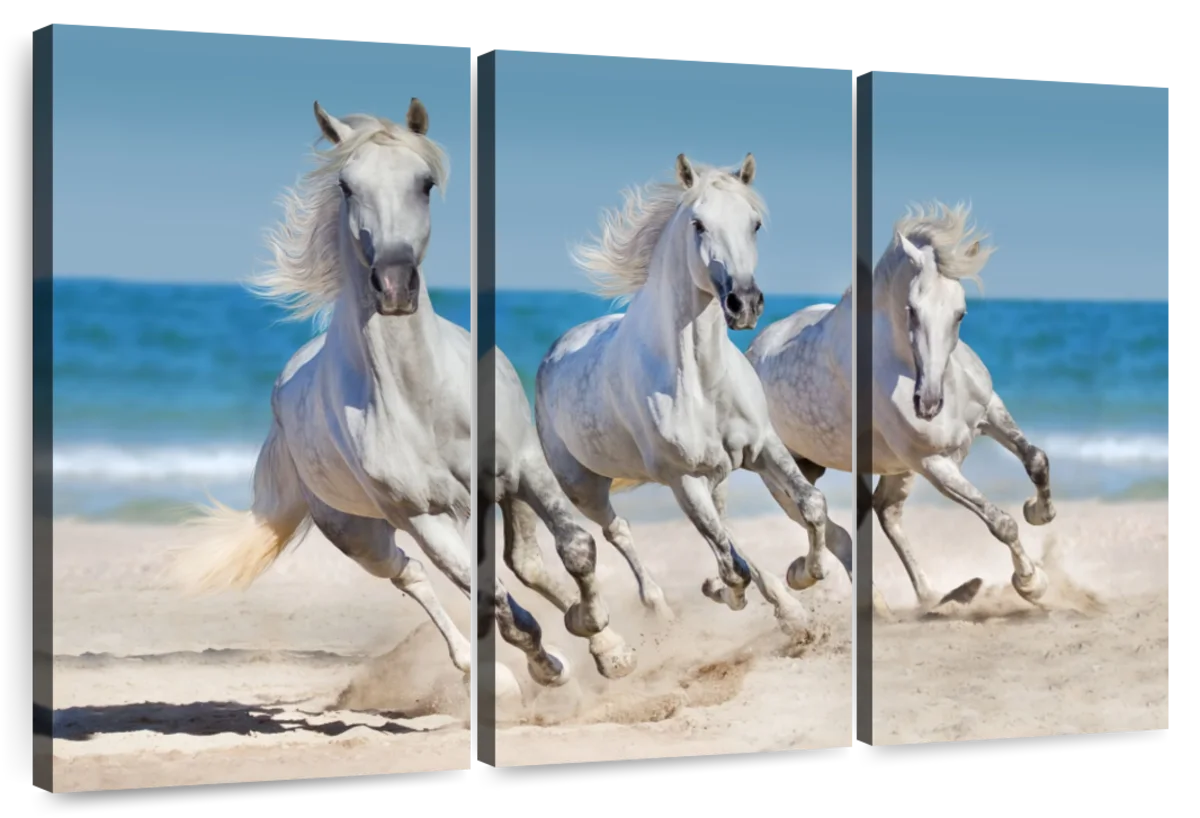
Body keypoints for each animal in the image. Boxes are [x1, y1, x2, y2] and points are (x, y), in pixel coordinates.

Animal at [165, 99, 572, 695]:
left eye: (425, 183)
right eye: (346, 185)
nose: (395, 284)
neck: (425, 400)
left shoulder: (520, 468)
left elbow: (562, 552)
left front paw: (610, 645)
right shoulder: (425, 517)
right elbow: (496, 598)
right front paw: (549, 664)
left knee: (507, 567)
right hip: (360, 535)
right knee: (411, 575)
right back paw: (485, 671)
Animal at [534, 153, 844, 639]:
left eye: (755, 223)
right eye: (698, 224)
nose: (744, 303)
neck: (701, 380)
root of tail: (555, 350)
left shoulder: (764, 447)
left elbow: (810, 505)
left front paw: (802, 575)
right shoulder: (682, 478)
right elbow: (732, 565)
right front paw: (739, 592)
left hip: (715, 475)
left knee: (722, 529)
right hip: (584, 487)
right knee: (619, 531)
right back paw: (658, 606)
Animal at [746, 202, 1055, 614]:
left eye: (960, 313)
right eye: (911, 310)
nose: (928, 404)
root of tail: (753, 350)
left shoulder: (990, 412)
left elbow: (1035, 459)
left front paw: (1039, 512)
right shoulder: (932, 462)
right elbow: (999, 521)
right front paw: (1031, 583)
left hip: (882, 467)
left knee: (885, 511)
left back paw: (932, 596)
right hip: (782, 472)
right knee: (829, 526)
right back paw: (819, 581)